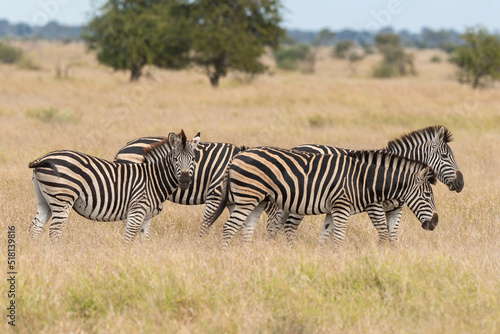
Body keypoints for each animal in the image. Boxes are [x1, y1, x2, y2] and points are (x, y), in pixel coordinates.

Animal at [28, 130, 199, 243]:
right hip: (62, 198)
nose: (185, 181)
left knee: (35, 228)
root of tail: (43, 158)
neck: (153, 179)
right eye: (175, 159)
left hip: (44, 200)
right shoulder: (136, 211)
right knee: (55, 231)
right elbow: (128, 239)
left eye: (193, 159)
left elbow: (144, 241)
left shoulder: (147, 216)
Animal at [114, 135, 246, 235]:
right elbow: (206, 223)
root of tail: (123, 148)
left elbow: (241, 224)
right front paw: (202, 243)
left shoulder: (234, 201)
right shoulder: (215, 194)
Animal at [206, 146, 438, 248]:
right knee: (229, 227)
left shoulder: (333, 209)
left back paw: (248, 254)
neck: (362, 179)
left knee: (246, 229)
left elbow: (325, 236)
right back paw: (226, 255)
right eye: (427, 195)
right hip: (247, 197)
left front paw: (325, 259)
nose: (435, 223)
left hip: (258, 200)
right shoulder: (342, 206)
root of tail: (236, 156)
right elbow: (339, 237)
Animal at [264, 124, 462, 243]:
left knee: (276, 225)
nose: (461, 183)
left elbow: (392, 236)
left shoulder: (396, 209)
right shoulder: (374, 205)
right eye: (445, 156)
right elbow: (383, 234)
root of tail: (295, 148)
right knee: (288, 227)